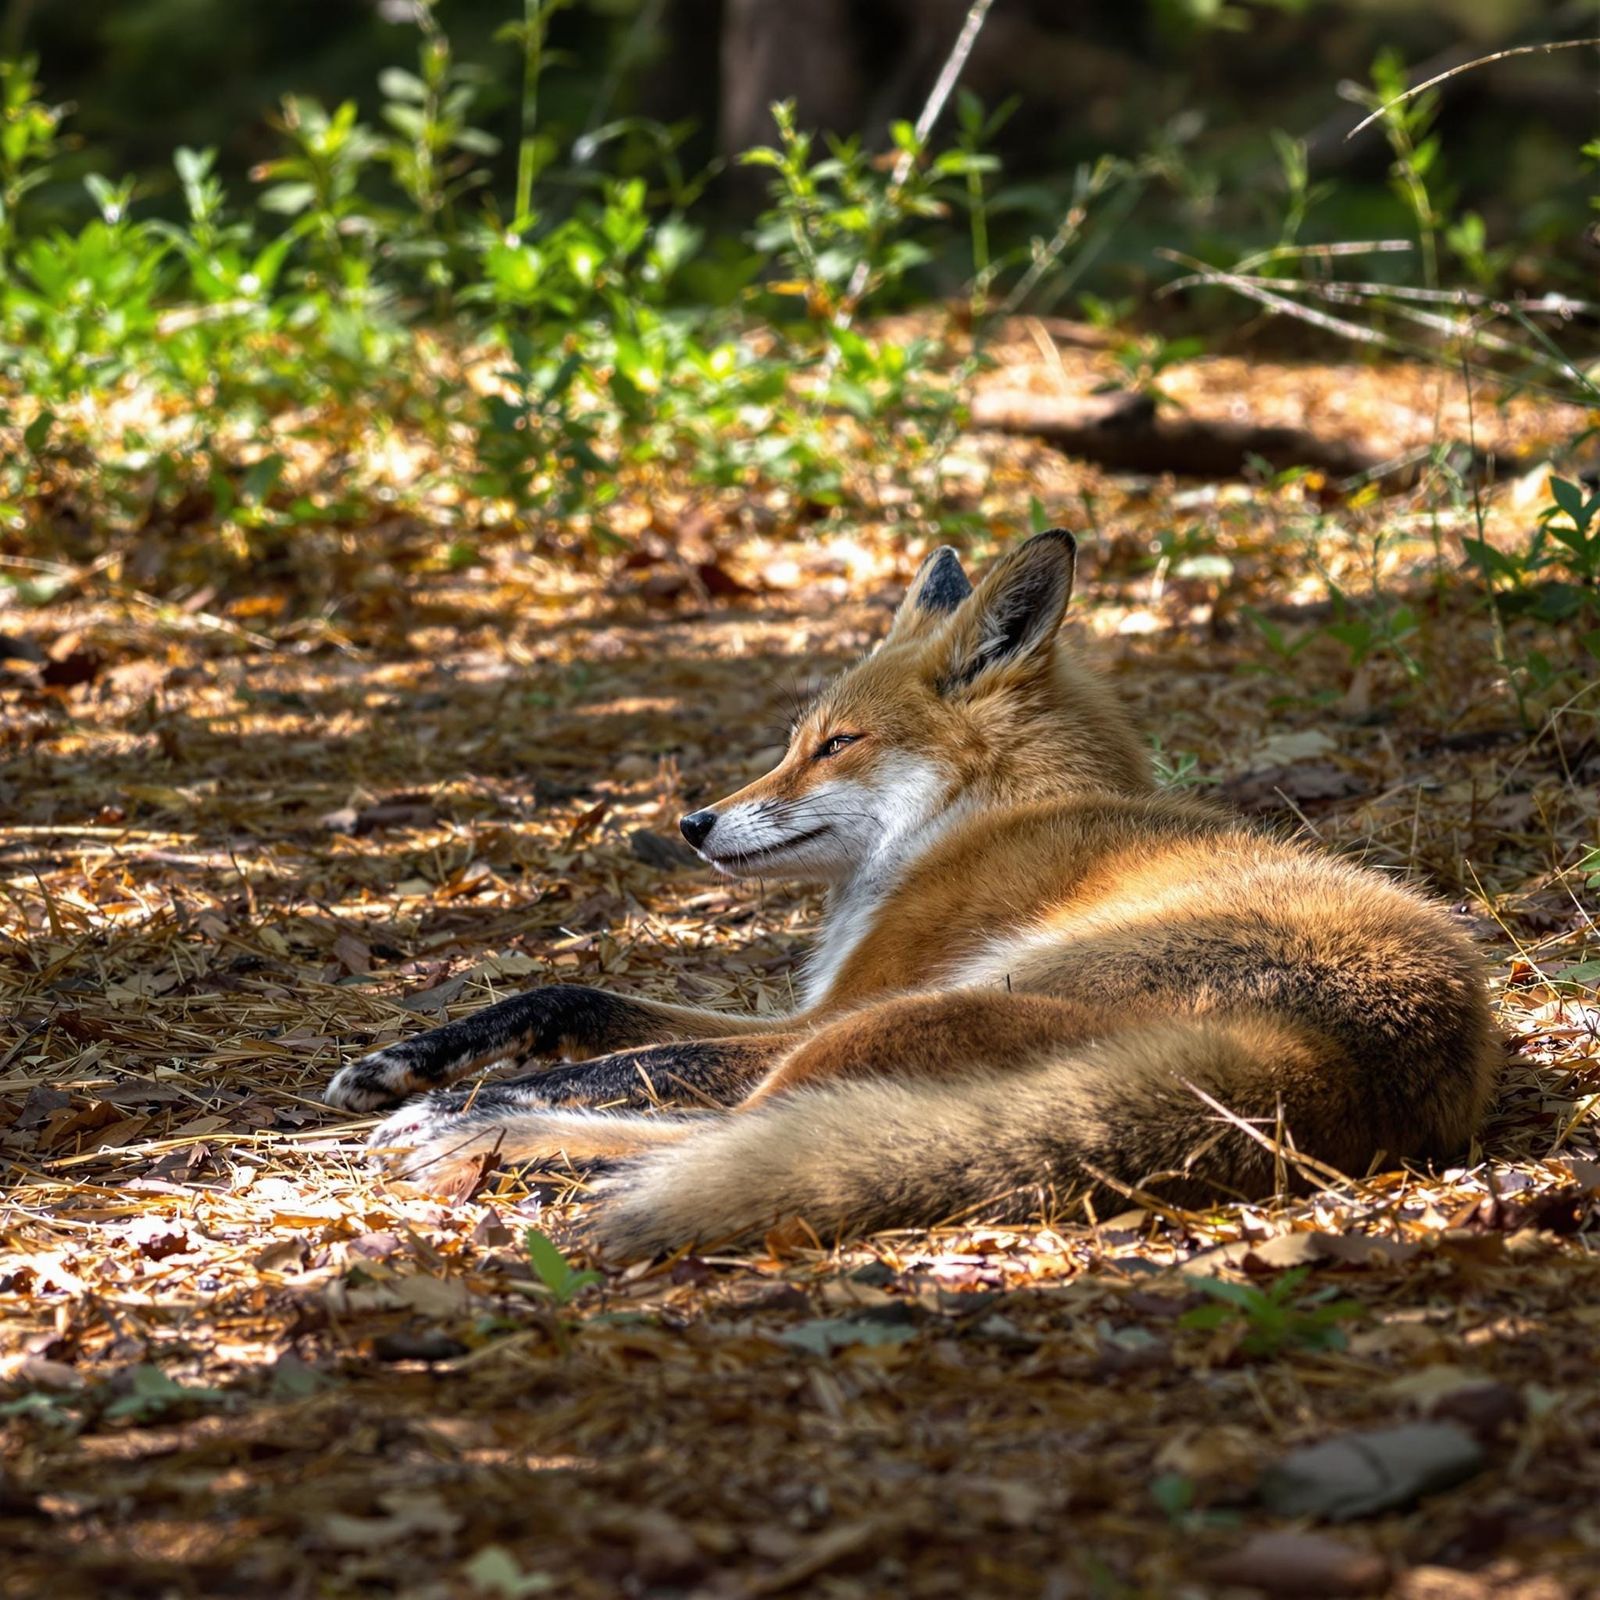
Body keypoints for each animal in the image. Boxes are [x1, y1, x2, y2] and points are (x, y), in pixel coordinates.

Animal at [324, 529, 1500, 1259]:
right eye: (792, 742)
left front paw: (457, 1100)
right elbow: (568, 996)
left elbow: (628, 1058)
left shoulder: (833, 1005)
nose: (694, 824)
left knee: (735, 1131)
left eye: (835, 745)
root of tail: (1339, 1063)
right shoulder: (796, 1006)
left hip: (911, 1013)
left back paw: (485, 1144)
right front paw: (408, 1059)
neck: (977, 815)